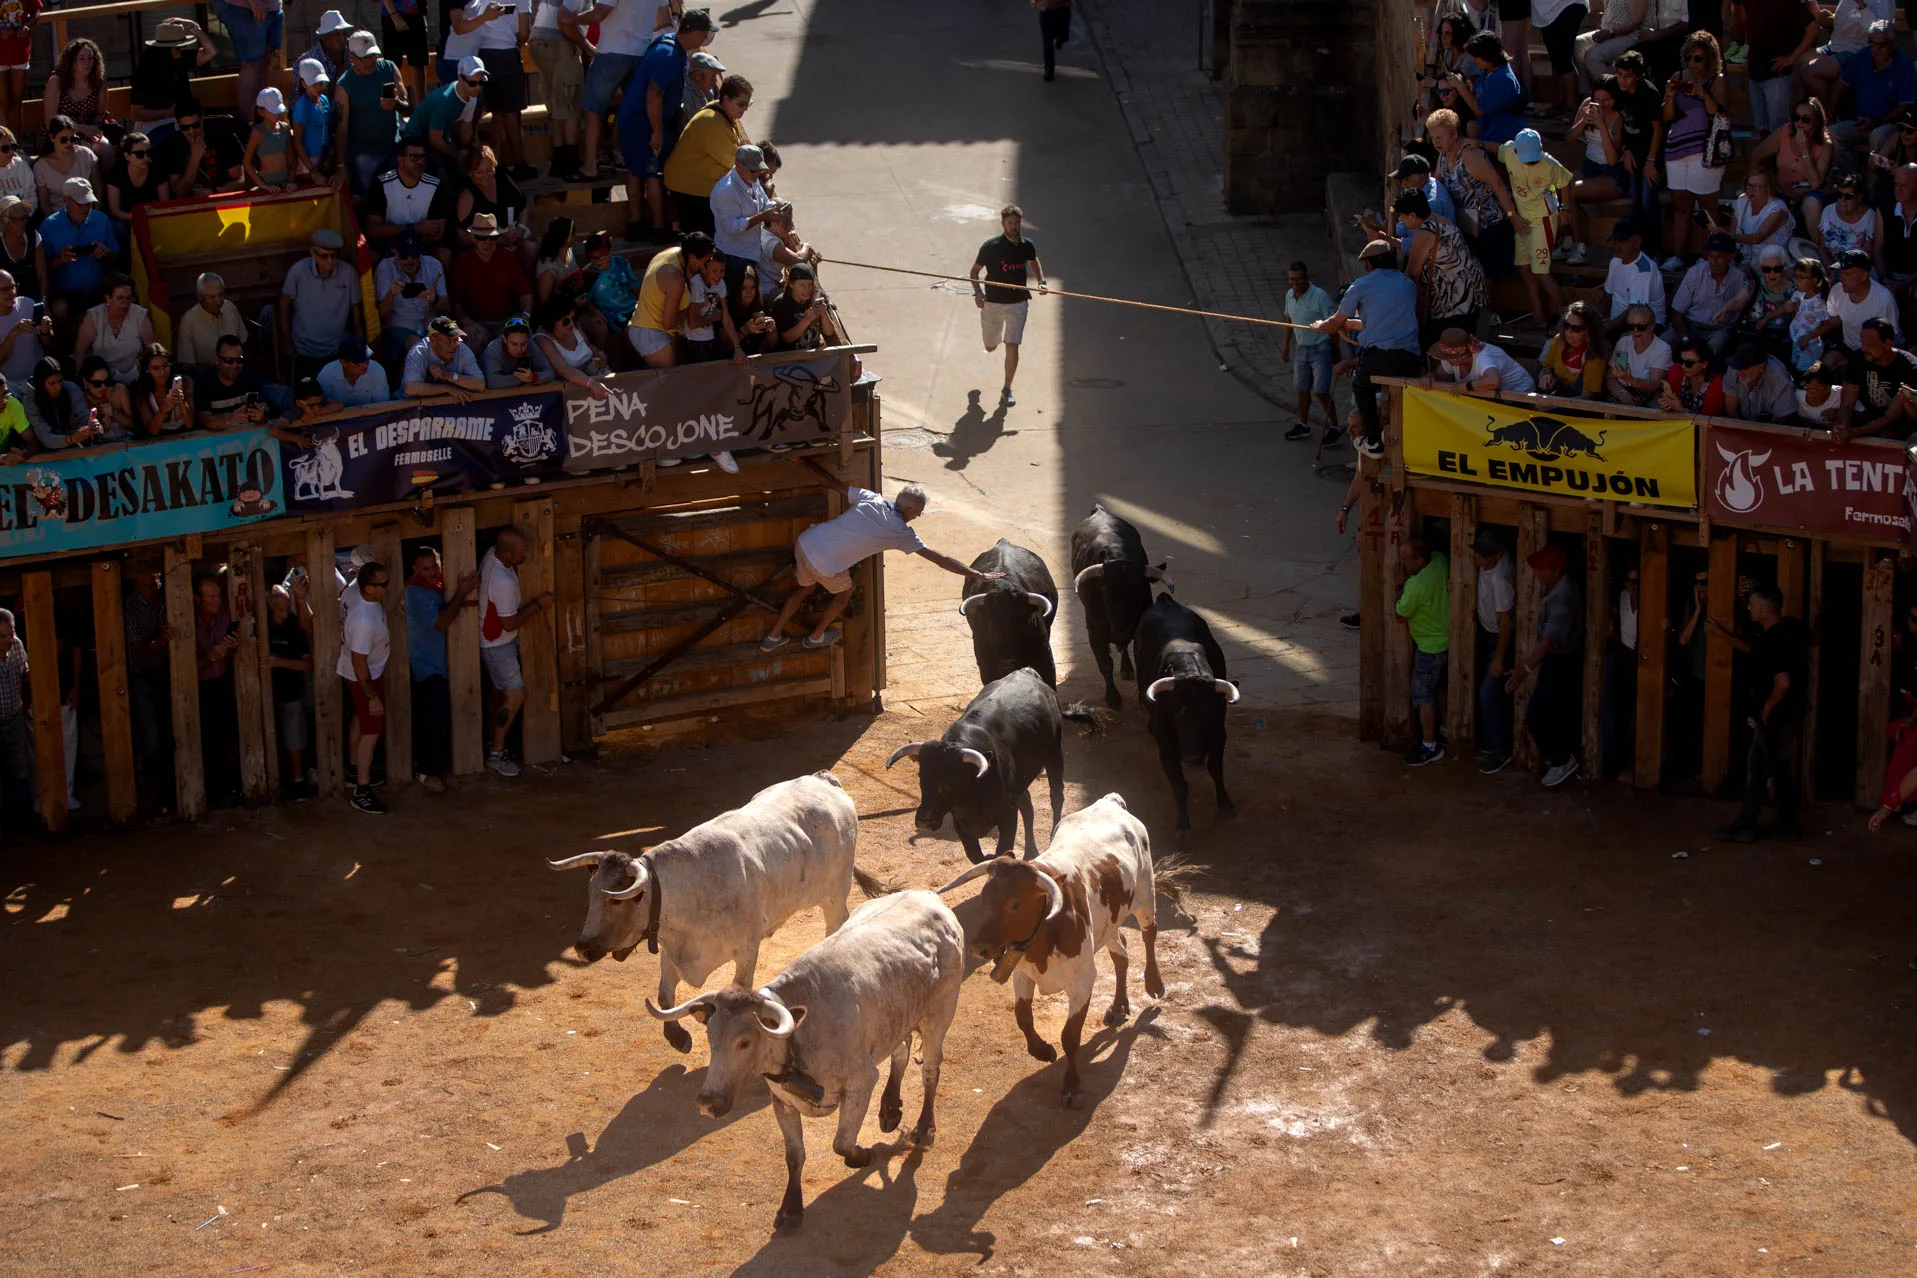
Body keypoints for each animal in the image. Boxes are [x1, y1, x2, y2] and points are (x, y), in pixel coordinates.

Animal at [548, 774, 881, 1057]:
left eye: (615, 901)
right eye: (592, 893)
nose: (583, 948)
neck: (686, 892)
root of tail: (824, 780)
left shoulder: (747, 950)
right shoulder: (672, 949)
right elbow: (664, 997)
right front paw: (678, 1037)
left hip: (835, 893)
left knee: (836, 923)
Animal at [647, 889, 973, 1226]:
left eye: (744, 1042)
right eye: (710, 1037)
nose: (707, 1103)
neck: (801, 1035)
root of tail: (930, 898)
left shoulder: (861, 1082)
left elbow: (842, 1143)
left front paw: (862, 1156)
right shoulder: (783, 1102)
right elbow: (794, 1156)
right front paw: (791, 1206)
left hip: (939, 1016)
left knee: (930, 1071)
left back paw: (923, 1126)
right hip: (895, 1018)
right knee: (901, 1051)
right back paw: (890, 1109)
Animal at [943, 789, 1165, 1111]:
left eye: (1015, 904)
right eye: (984, 896)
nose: (978, 947)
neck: (1047, 932)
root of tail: (1110, 802)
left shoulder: (1083, 980)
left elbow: (1070, 1036)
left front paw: (1071, 1086)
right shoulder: (1022, 973)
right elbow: (1023, 1017)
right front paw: (1043, 1051)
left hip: (1146, 895)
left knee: (1149, 933)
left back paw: (1154, 983)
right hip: (1108, 923)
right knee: (1120, 952)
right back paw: (1118, 1005)